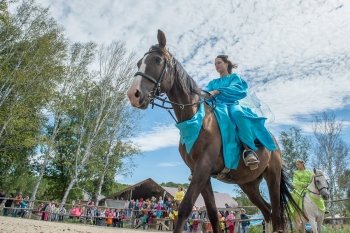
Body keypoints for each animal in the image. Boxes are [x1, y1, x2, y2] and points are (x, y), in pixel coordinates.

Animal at [127, 30, 300, 232]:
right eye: (139, 62)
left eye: (156, 60)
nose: (133, 94)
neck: (197, 119)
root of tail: (275, 143)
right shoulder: (200, 172)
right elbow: (212, 214)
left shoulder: (203, 167)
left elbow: (185, 209)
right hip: (248, 185)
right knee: (268, 212)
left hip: (272, 177)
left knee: (277, 215)